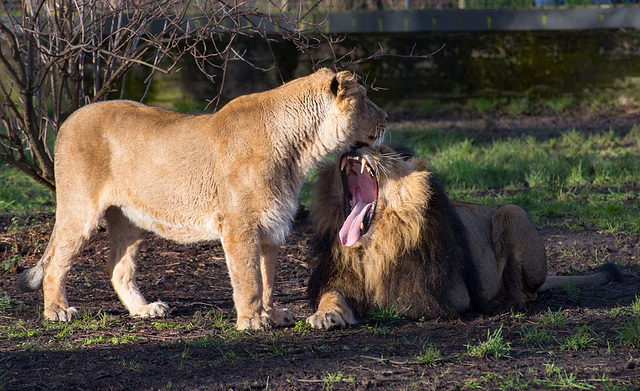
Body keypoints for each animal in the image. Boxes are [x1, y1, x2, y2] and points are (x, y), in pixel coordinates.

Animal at [17, 68, 388, 330]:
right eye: (366, 99)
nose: (386, 119)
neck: (301, 150)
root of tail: (68, 119)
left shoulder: (271, 224)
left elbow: (268, 277)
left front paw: (272, 314)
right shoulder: (239, 225)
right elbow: (249, 277)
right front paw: (252, 320)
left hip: (130, 219)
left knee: (117, 267)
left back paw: (144, 310)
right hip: (80, 209)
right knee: (56, 262)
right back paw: (57, 311)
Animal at [308, 145, 624, 330]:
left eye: (380, 147)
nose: (353, 145)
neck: (376, 241)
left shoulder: (448, 295)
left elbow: (396, 300)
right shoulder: (341, 276)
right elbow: (331, 294)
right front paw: (327, 314)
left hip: (512, 212)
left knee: (526, 290)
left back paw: (505, 300)